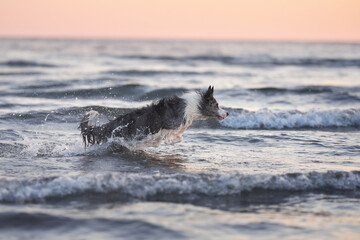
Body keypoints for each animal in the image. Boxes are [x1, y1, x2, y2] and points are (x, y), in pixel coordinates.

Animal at [80, 86, 229, 150]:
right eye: (217, 105)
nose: (227, 113)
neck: (194, 107)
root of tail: (111, 124)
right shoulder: (166, 126)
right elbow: (169, 136)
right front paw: (164, 141)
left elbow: (178, 136)